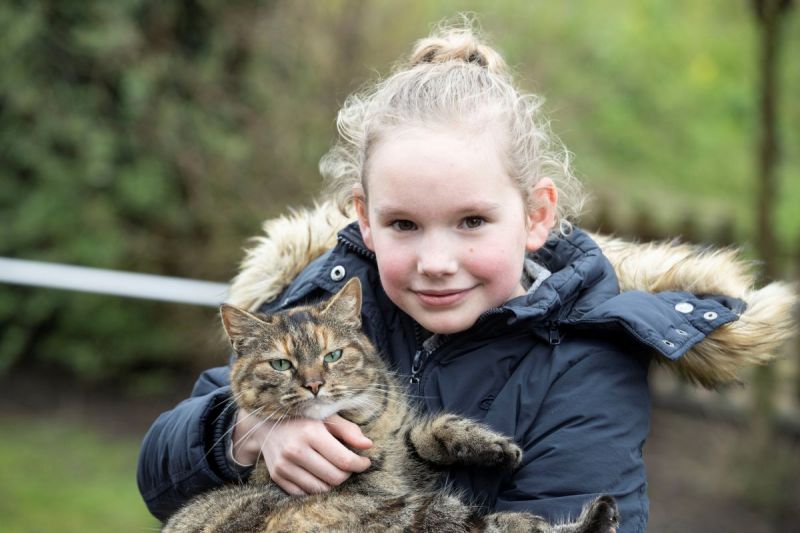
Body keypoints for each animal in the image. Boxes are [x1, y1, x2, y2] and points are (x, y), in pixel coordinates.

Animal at [164, 278, 620, 532]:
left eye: (333, 355)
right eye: (281, 364)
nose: (314, 384)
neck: (364, 428)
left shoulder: (404, 453)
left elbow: (425, 431)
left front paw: (489, 445)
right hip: (412, 512)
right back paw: (597, 517)